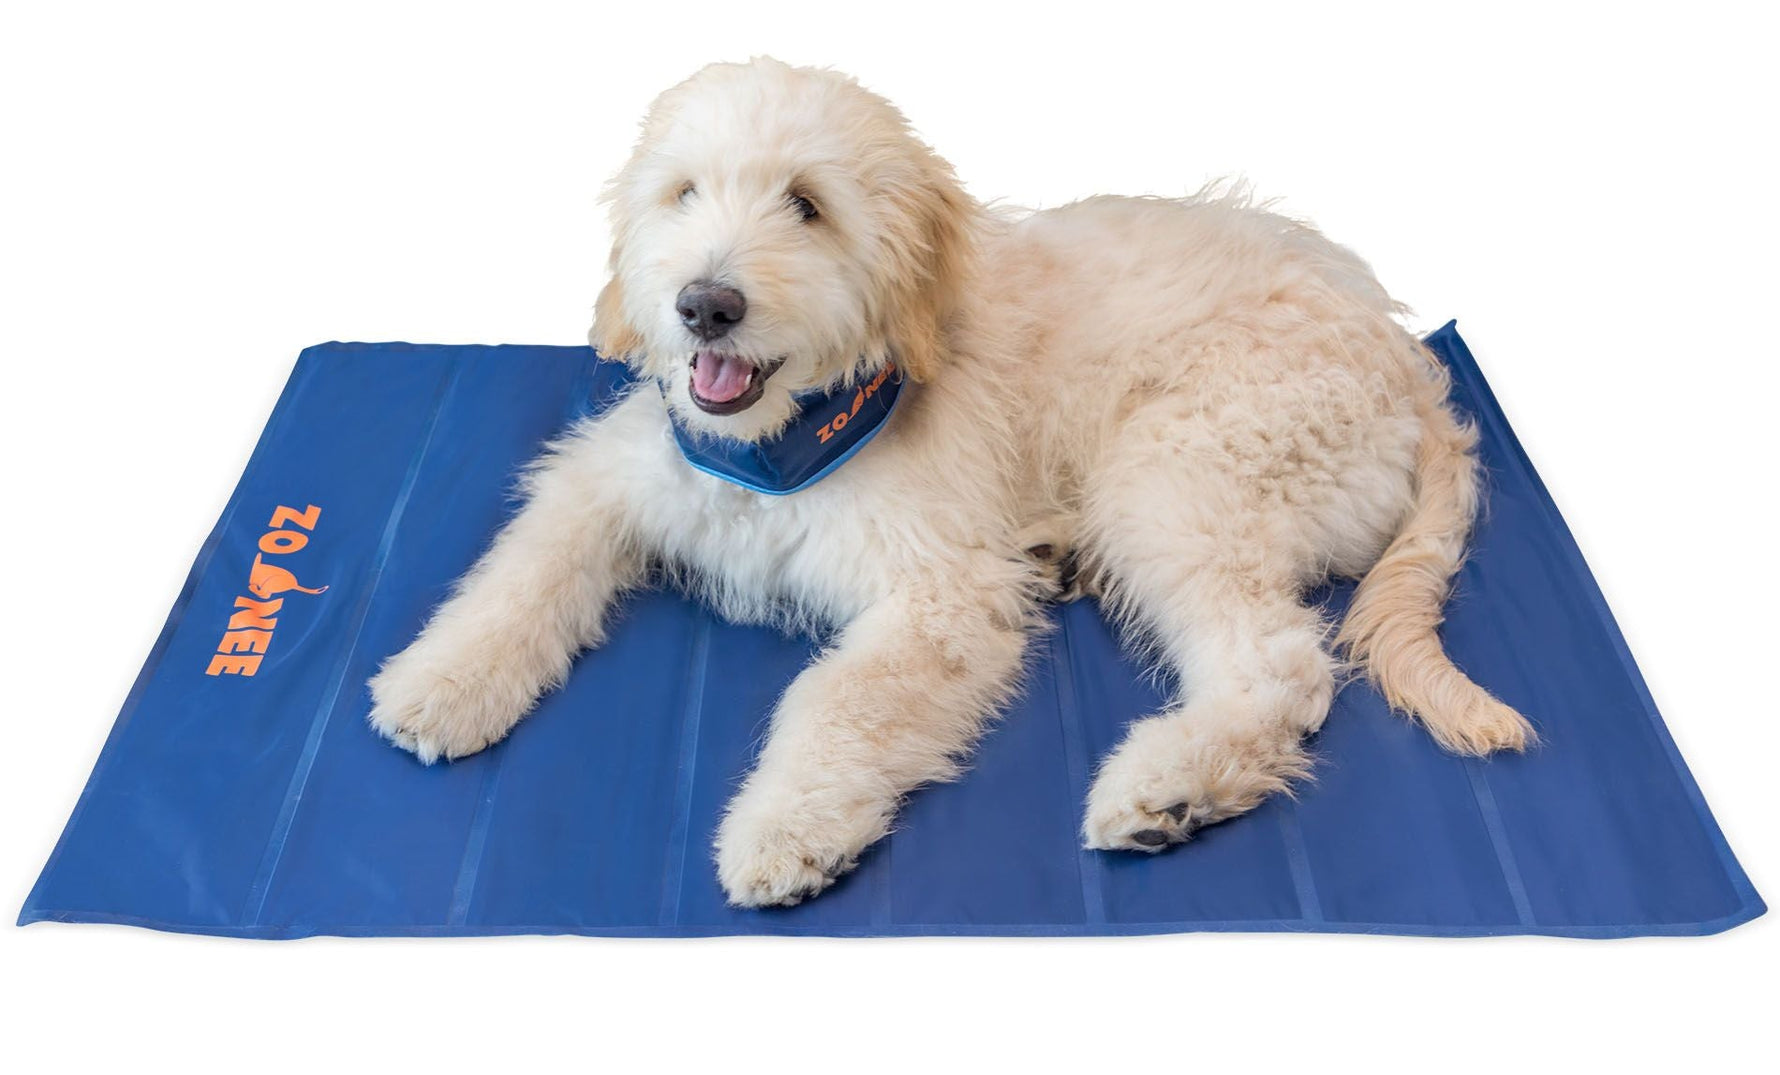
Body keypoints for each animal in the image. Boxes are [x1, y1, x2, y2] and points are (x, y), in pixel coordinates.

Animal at [364, 56, 1530, 907]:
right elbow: (523, 565)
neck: (787, 441)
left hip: (1179, 473)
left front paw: (787, 825)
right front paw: (444, 681)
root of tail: (1410, 363)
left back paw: (1170, 786)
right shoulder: (622, 474)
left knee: (1281, 664)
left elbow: (841, 699)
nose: (704, 305)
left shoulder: (941, 588)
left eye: (807, 206)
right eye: (681, 193)